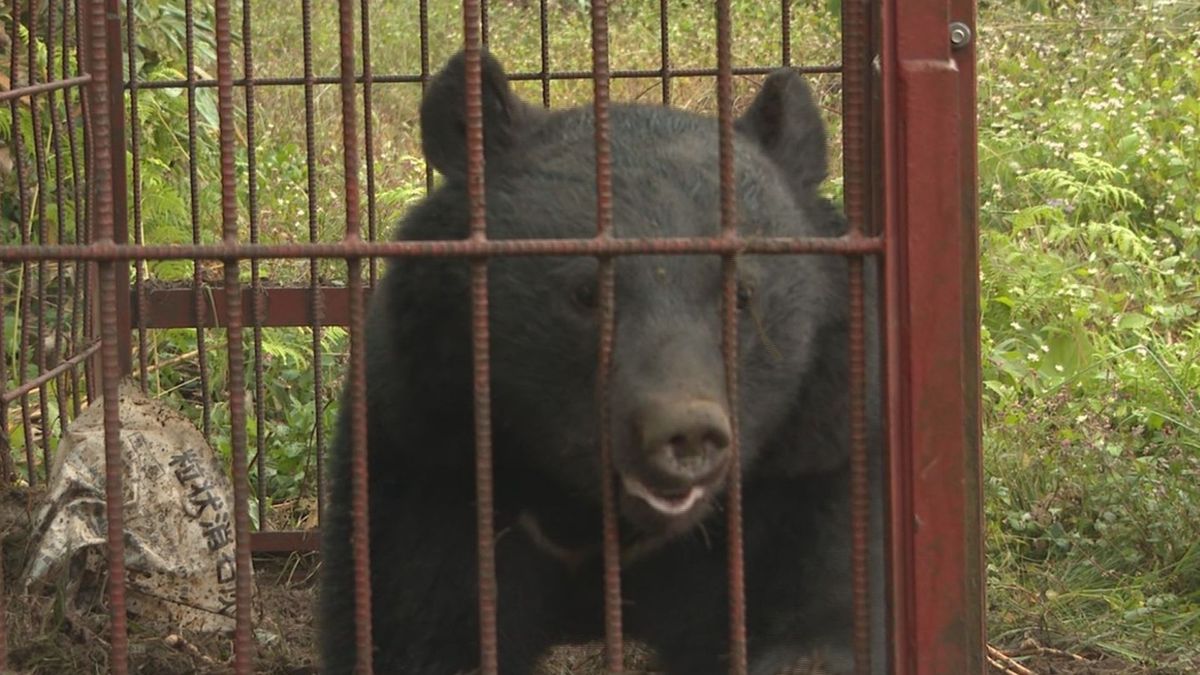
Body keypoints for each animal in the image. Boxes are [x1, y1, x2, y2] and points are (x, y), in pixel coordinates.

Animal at [316, 49, 883, 667]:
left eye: (742, 295)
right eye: (587, 293)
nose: (685, 432)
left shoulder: (808, 463)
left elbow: (816, 614)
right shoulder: (429, 455)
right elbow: (418, 623)